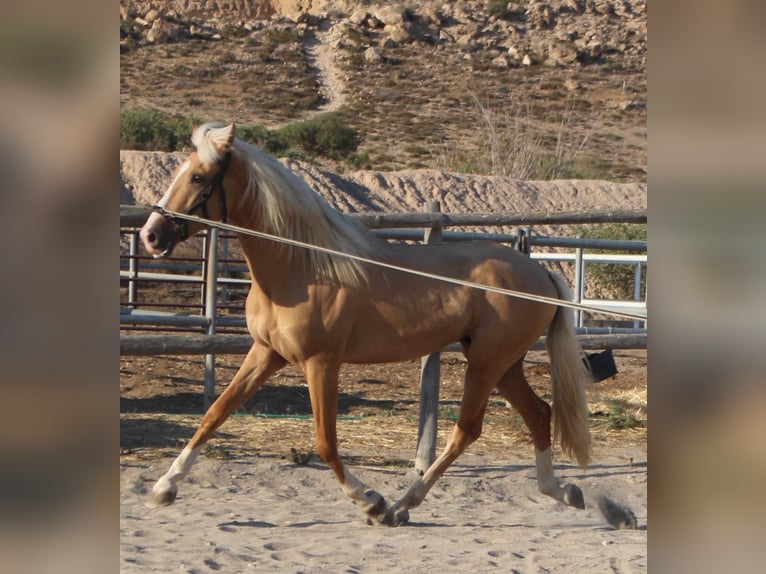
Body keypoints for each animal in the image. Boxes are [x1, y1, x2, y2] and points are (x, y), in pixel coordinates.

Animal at [140, 122, 592, 528]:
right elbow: (213, 414)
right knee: (539, 414)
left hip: (486, 363)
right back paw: (563, 491)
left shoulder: (322, 363)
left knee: (468, 431)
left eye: (198, 177)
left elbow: (325, 443)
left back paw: (401, 506)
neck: (302, 267)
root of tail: (541, 273)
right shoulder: (266, 353)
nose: (151, 235)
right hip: (504, 364)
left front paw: (370, 502)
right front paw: (164, 487)